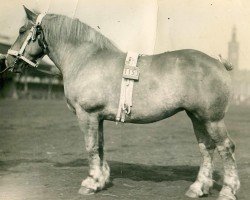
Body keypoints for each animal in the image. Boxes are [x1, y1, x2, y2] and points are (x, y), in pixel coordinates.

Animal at [5, 6, 239, 200]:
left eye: (22, 30)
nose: (8, 60)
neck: (86, 58)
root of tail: (218, 62)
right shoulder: (98, 117)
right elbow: (99, 146)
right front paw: (100, 180)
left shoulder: (87, 114)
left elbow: (90, 147)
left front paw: (90, 183)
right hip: (197, 117)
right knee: (206, 148)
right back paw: (198, 188)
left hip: (212, 119)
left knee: (225, 147)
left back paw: (228, 190)